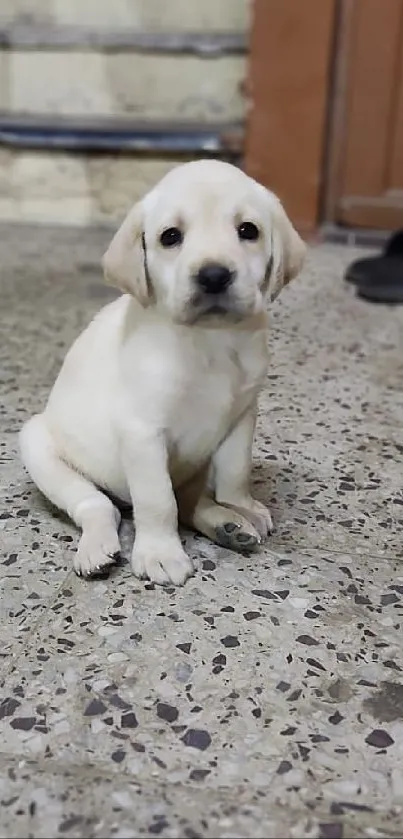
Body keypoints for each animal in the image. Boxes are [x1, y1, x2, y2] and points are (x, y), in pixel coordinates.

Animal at [17, 161, 304, 588]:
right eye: (170, 237)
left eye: (248, 230)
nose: (214, 275)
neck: (209, 341)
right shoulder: (142, 431)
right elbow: (158, 501)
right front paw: (160, 553)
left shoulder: (242, 417)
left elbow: (235, 473)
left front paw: (242, 506)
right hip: (39, 445)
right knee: (100, 507)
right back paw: (97, 548)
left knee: (191, 500)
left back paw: (228, 524)